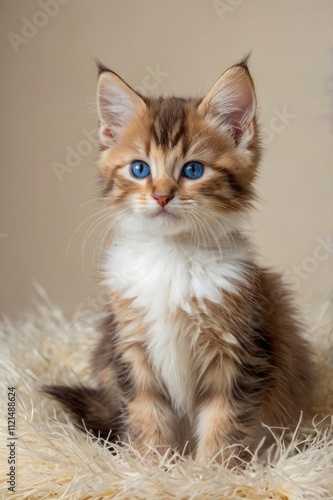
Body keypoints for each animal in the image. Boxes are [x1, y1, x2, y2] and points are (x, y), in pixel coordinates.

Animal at [45, 58, 312, 464]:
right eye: (140, 169)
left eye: (193, 170)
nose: (161, 196)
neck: (171, 256)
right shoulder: (131, 348)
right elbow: (146, 414)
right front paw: (150, 467)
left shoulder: (241, 349)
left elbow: (224, 420)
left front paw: (211, 471)